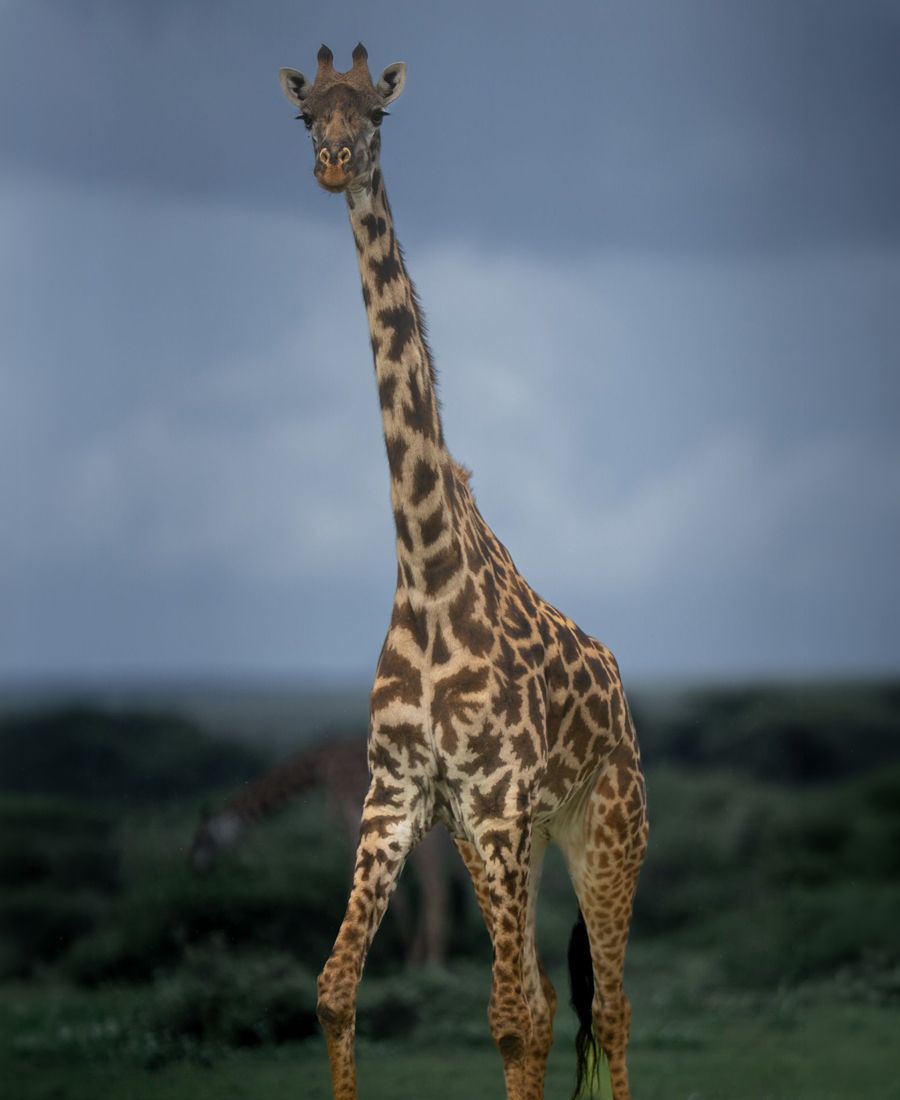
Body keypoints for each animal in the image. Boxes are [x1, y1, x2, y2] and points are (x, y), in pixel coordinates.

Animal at [188, 736, 452, 966]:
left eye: (203, 839)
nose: (195, 866)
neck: (320, 764)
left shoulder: (349, 812)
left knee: (435, 884)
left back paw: (429, 961)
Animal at [278, 44, 648, 1100]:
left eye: (377, 112)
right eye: (307, 114)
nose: (334, 163)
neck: (430, 574)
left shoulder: (496, 801)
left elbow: (511, 1018)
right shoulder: (398, 797)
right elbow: (334, 992)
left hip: (604, 825)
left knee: (608, 1002)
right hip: (510, 842)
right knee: (557, 997)